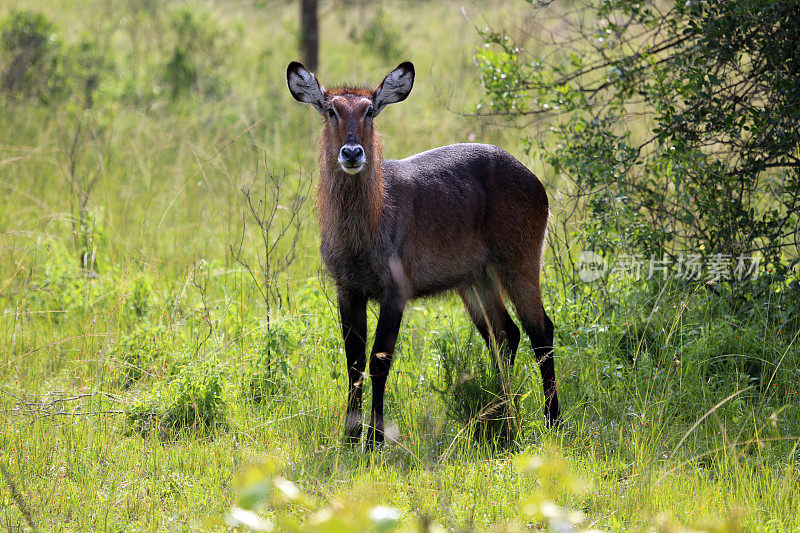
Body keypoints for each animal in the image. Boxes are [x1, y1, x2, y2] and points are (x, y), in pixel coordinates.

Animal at [290, 60, 564, 446]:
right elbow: (353, 363)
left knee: (541, 332)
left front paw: (374, 440)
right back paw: (503, 419)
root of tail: (533, 179)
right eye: (331, 110)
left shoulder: (395, 292)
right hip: (475, 279)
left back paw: (551, 422)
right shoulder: (348, 290)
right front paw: (349, 436)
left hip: (519, 262)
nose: (352, 153)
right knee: (505, 334)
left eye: (369, 110)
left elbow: (379, 362)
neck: (366, 227)